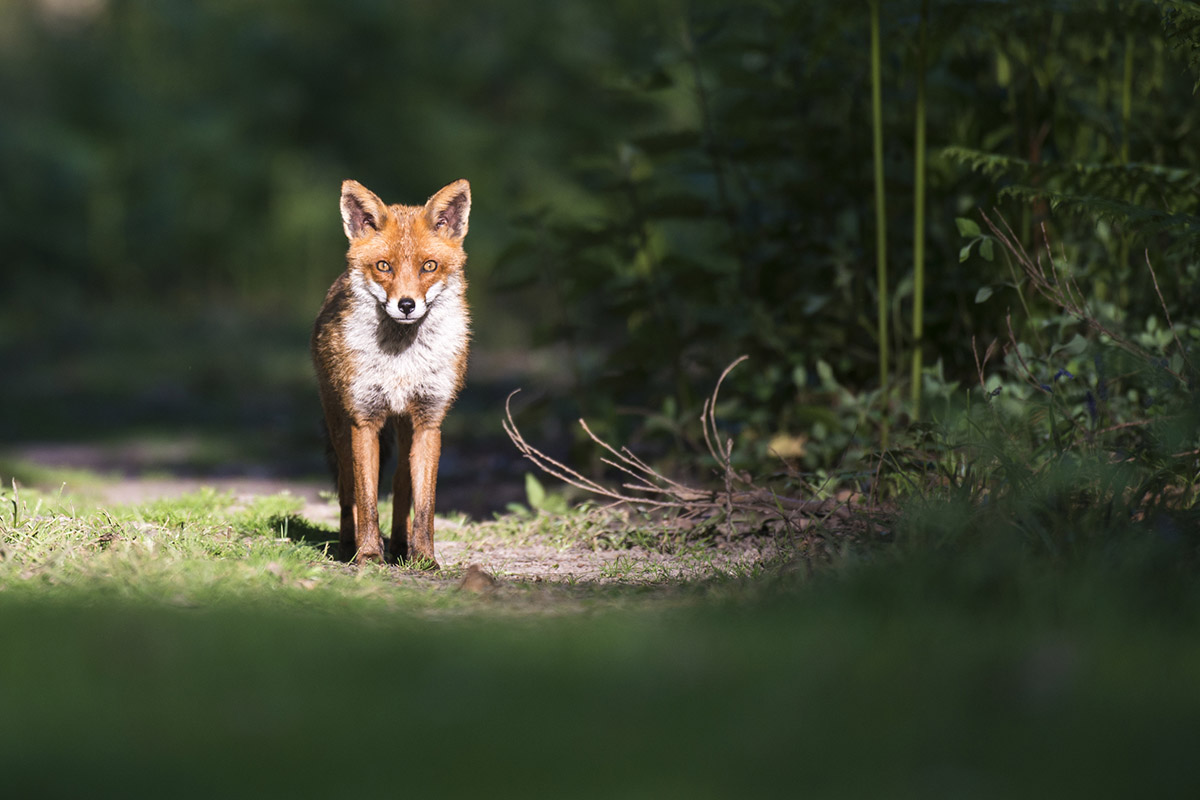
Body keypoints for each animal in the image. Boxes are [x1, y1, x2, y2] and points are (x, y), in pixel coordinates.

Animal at [312, 181, 470, 568]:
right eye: (383, 266)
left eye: (429, 266)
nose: (407, 305)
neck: (402, 362)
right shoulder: (364, 420)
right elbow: (367, 499)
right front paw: (369, 553)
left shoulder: (429, 422)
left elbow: (425, 504)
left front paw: (425, 557)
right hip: (339, 426)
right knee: (347, 488)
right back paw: (348, 544)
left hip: (405, 427)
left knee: (401, 484)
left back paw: (400, 544)